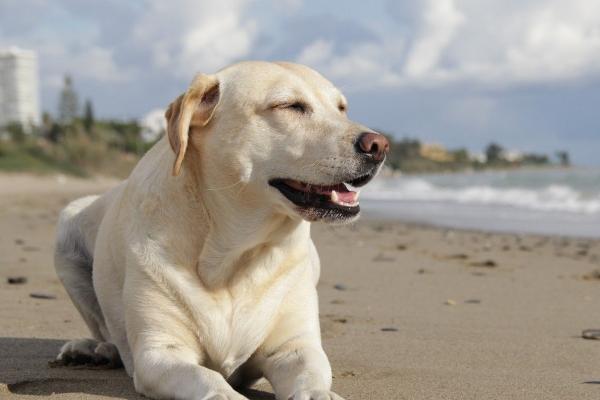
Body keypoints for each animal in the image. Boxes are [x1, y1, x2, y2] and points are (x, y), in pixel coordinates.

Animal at [55, 61, 390, 398]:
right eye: (290, 106)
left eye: (341, 108)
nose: (379, 145)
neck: (234, 256)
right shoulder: (159, 352)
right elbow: (207, 378)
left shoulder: (294, 347)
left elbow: (310, 376)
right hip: (67, 226)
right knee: (105, 331)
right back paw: (92, 350)